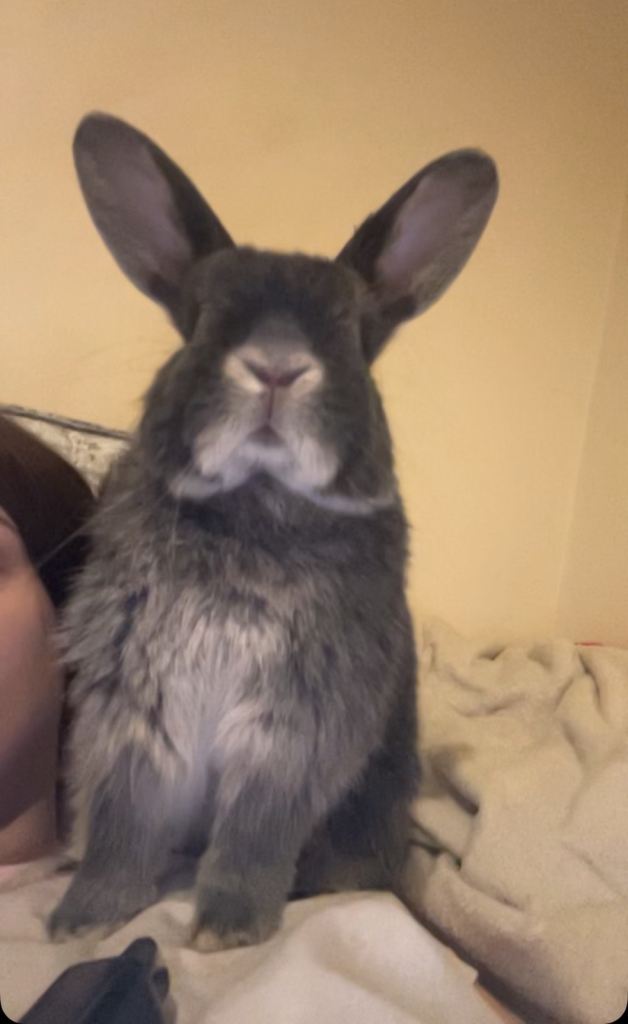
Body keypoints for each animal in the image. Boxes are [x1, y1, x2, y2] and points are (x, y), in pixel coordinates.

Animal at [49, 112, 498, 950]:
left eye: (351, 332)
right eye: (200, 319)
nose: (277, 367)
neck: (256, 504)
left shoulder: (295, 728)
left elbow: (254, 837)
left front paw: (226, 931)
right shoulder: (138, 706)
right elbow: (125, 825)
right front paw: (84, 918)